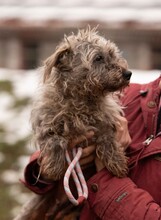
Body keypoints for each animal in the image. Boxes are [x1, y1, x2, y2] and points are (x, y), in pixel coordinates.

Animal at [30, 26, 132, 181]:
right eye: (98, 58)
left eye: (112, 54)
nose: (128, 73)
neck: (82, 101)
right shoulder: (45, 124)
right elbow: (55, 141)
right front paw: (54, 167)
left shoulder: (106, 123)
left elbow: (108, 139)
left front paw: (117, 162)